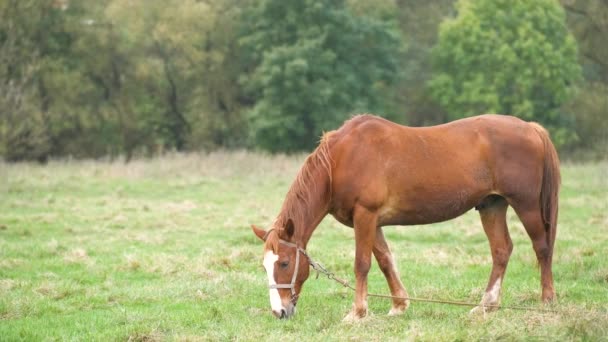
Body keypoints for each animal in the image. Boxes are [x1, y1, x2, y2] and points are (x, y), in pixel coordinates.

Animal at [251, 115, 560, 320]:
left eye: (285, 263)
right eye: (264, 265)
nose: (279, 311)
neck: (340, 160)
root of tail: (531, 128)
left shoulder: (365, 215)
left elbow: (362, 264)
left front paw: (357, 313)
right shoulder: (371, 221)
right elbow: (385, 261)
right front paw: (398, 305)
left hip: (526, 205)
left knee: (542, 248)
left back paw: (546, 301)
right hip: (492, 206)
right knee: (501, 251)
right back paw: (487, 305)